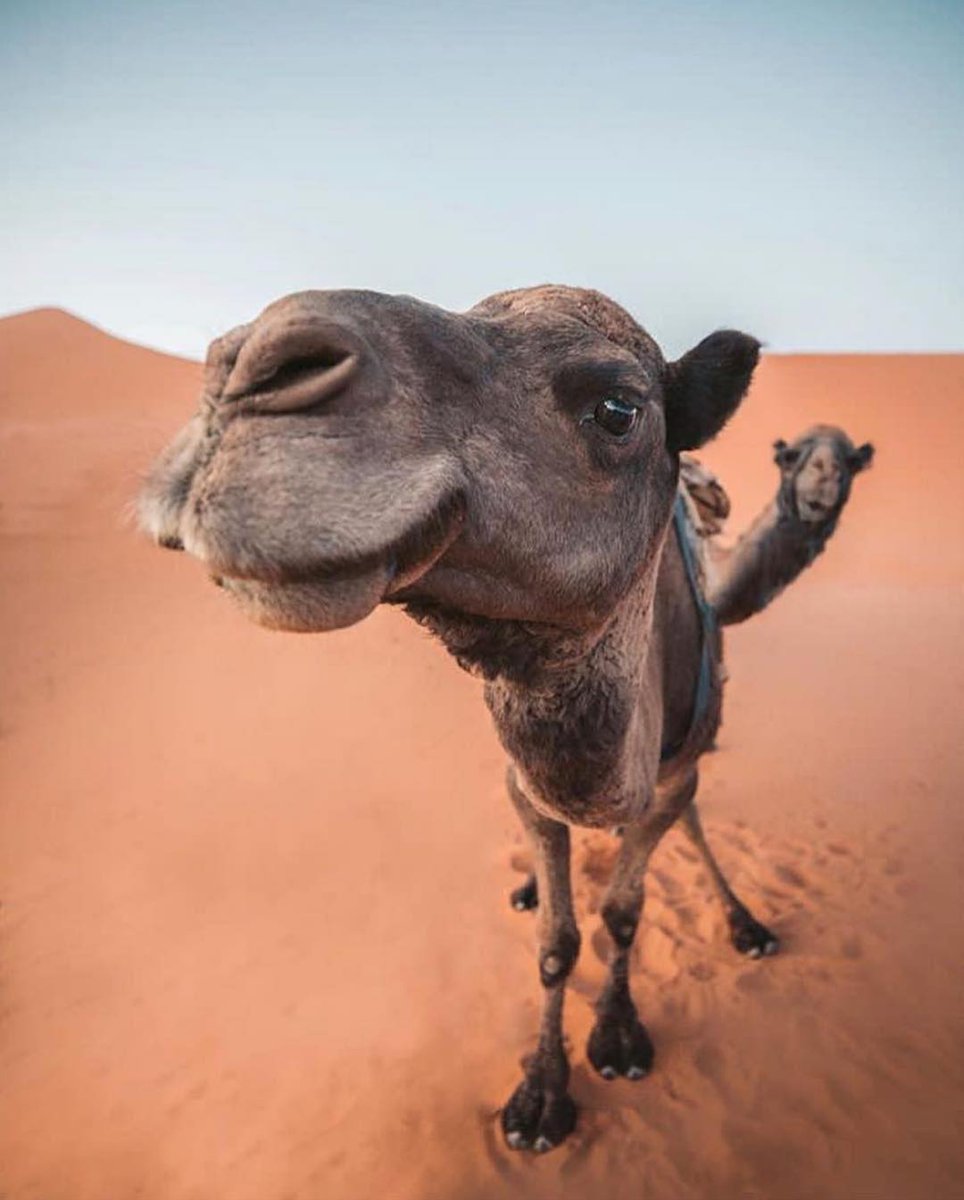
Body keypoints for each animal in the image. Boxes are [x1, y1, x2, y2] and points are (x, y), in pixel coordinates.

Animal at [139, 285, 873, 1154]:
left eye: (618, 409)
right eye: (795, 460)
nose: (243, 369)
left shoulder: (670, 775)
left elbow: (625, 912)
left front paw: (619, 1036)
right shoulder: (531, 786)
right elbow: (556, 944)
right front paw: (540, 1096)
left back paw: (744, 922)